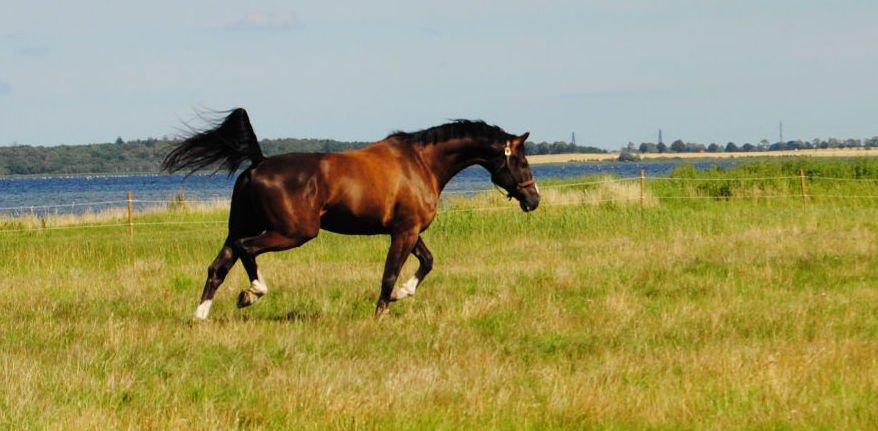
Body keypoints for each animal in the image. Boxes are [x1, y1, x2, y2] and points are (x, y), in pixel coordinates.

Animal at [162, 109, 540, 320]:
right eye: (521, 161)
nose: (534, 199)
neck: (421, 164)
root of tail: (257, 164)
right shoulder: (404, 231)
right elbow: (389, 274)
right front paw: (382, 312)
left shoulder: (409, 231)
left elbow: (428, 262)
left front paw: (402, 295)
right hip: (294, 232)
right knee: (246, 249)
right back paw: (253, 292)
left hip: (242, 226)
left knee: (218, 266)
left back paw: (200, 316)